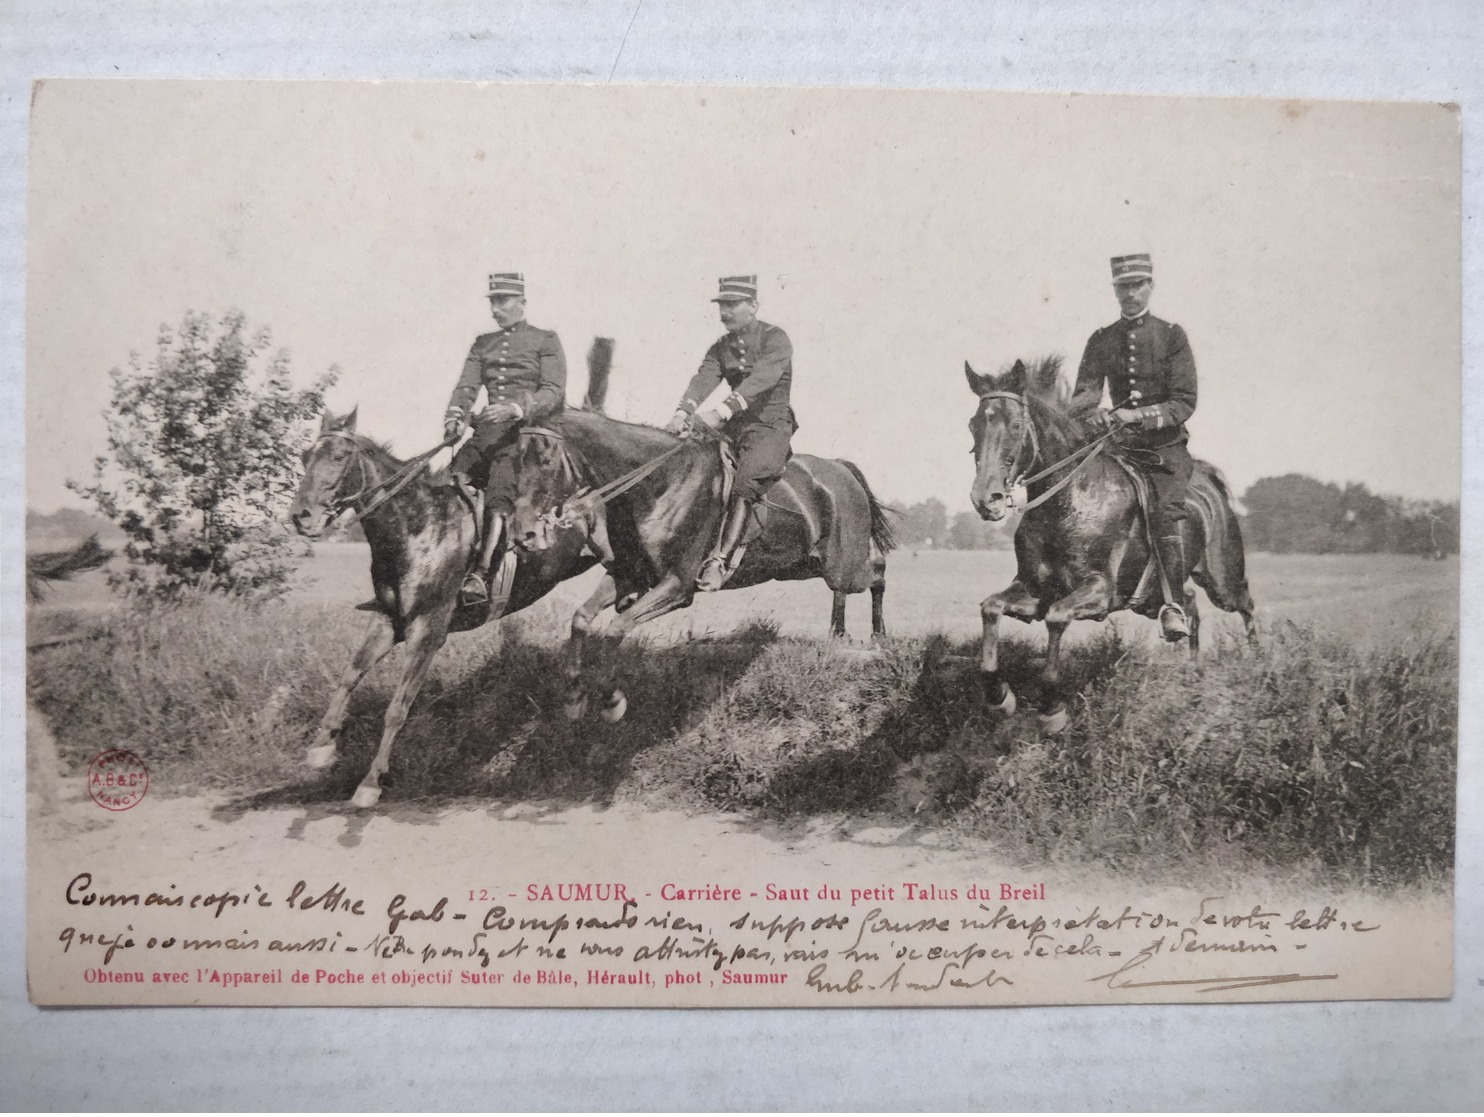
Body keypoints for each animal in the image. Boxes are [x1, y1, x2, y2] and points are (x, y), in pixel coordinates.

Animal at [289, 406, 596, 806]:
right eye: (305, 457)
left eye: (339, 457)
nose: (301, 516)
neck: (418, 527)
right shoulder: (388, 621)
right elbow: (348, 677)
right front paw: (321, 747)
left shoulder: (427, 631)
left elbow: (398, 707)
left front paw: (371, 781)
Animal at [504, 415, 890, 717]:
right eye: (515, 462)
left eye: (546, 459)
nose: (523, 535)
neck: (659, 485)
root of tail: (841, 468)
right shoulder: (630, 575)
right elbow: (582, 618)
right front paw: (573, 695)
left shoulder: (677, 586)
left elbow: (616, 628)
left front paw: (611, 698)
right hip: (803, 566)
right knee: (850, 585)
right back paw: (838, 632)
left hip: (842, 564)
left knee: (877, 572)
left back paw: (878, 635)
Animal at [961, 354, 1252, 732]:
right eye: (973, 426)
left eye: (1014, 424)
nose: (986, 499)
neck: (1069, 499)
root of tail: (1208, 479)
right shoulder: (1033, 589)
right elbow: (991, 608)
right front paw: (999, 696)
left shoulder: (1099, 591)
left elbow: (1056, 618)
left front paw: (1051, 708)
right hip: (1153, 597)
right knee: (1188, 604)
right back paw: (1191, 668)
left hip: (1221, 578)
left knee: (1244, 604)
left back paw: (1259, 661)